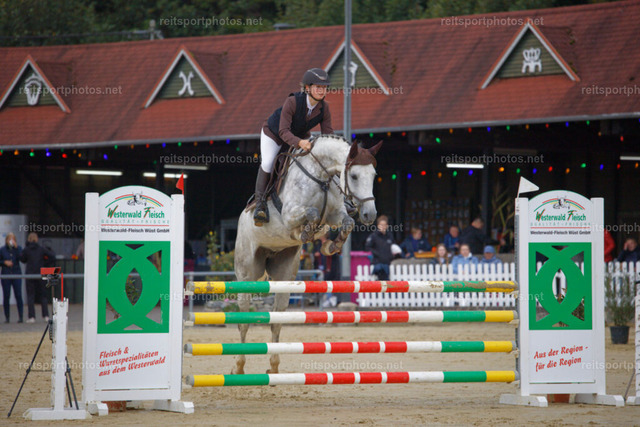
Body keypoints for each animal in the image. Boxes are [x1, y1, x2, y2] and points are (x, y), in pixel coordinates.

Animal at [233, 134, 381, 374]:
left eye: (374, 175)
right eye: (354, 176)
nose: (369, 215)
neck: (321, 177)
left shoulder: (335, 215)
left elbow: (347, 222)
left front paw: (330, 246)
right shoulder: (290, 214)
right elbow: (310, 213)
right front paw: (305, 232)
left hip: (284, 275)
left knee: (276, 320)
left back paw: (273, 368)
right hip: (246, 275)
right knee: (243, 321)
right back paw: (238, 366)